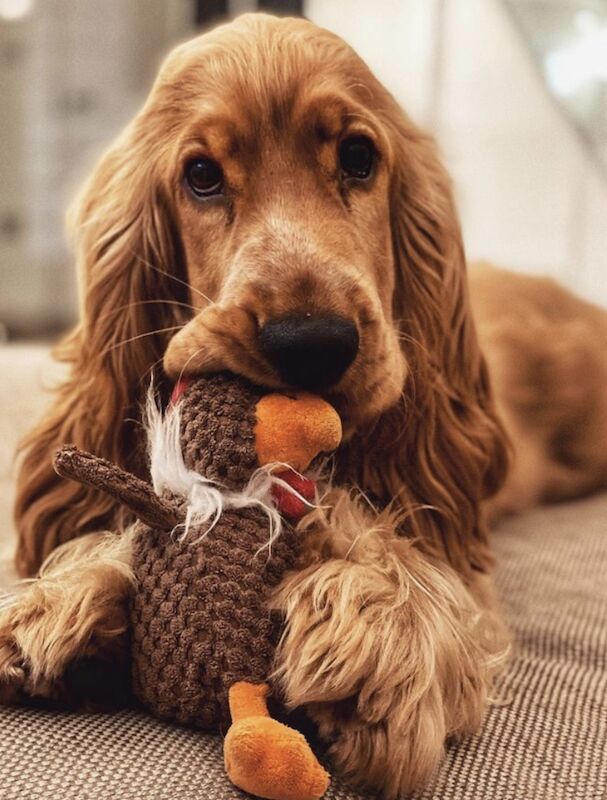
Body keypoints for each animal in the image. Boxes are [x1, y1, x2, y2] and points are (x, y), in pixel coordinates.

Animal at [1, 12, 607, 800]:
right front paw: (62, 598)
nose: (313, 343)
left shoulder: (455, 540)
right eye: (201, 175)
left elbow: (407, 550)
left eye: (357, 156)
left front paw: (377, 625)